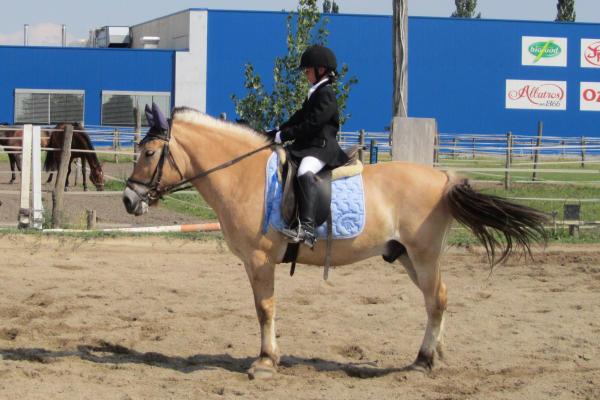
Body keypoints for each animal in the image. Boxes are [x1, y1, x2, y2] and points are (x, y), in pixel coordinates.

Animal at [122, 105, 547, 380]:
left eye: (148, 153)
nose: (128, 200)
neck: (244, 174)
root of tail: (444, 178)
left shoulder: (259, 261)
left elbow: (264, 309)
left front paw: (265, 362)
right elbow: (265, 309)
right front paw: (269, 358)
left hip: (424, 256)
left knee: (437, 300)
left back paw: (423, 361)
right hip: (408, 257)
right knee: (436, 301)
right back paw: (435, 354)